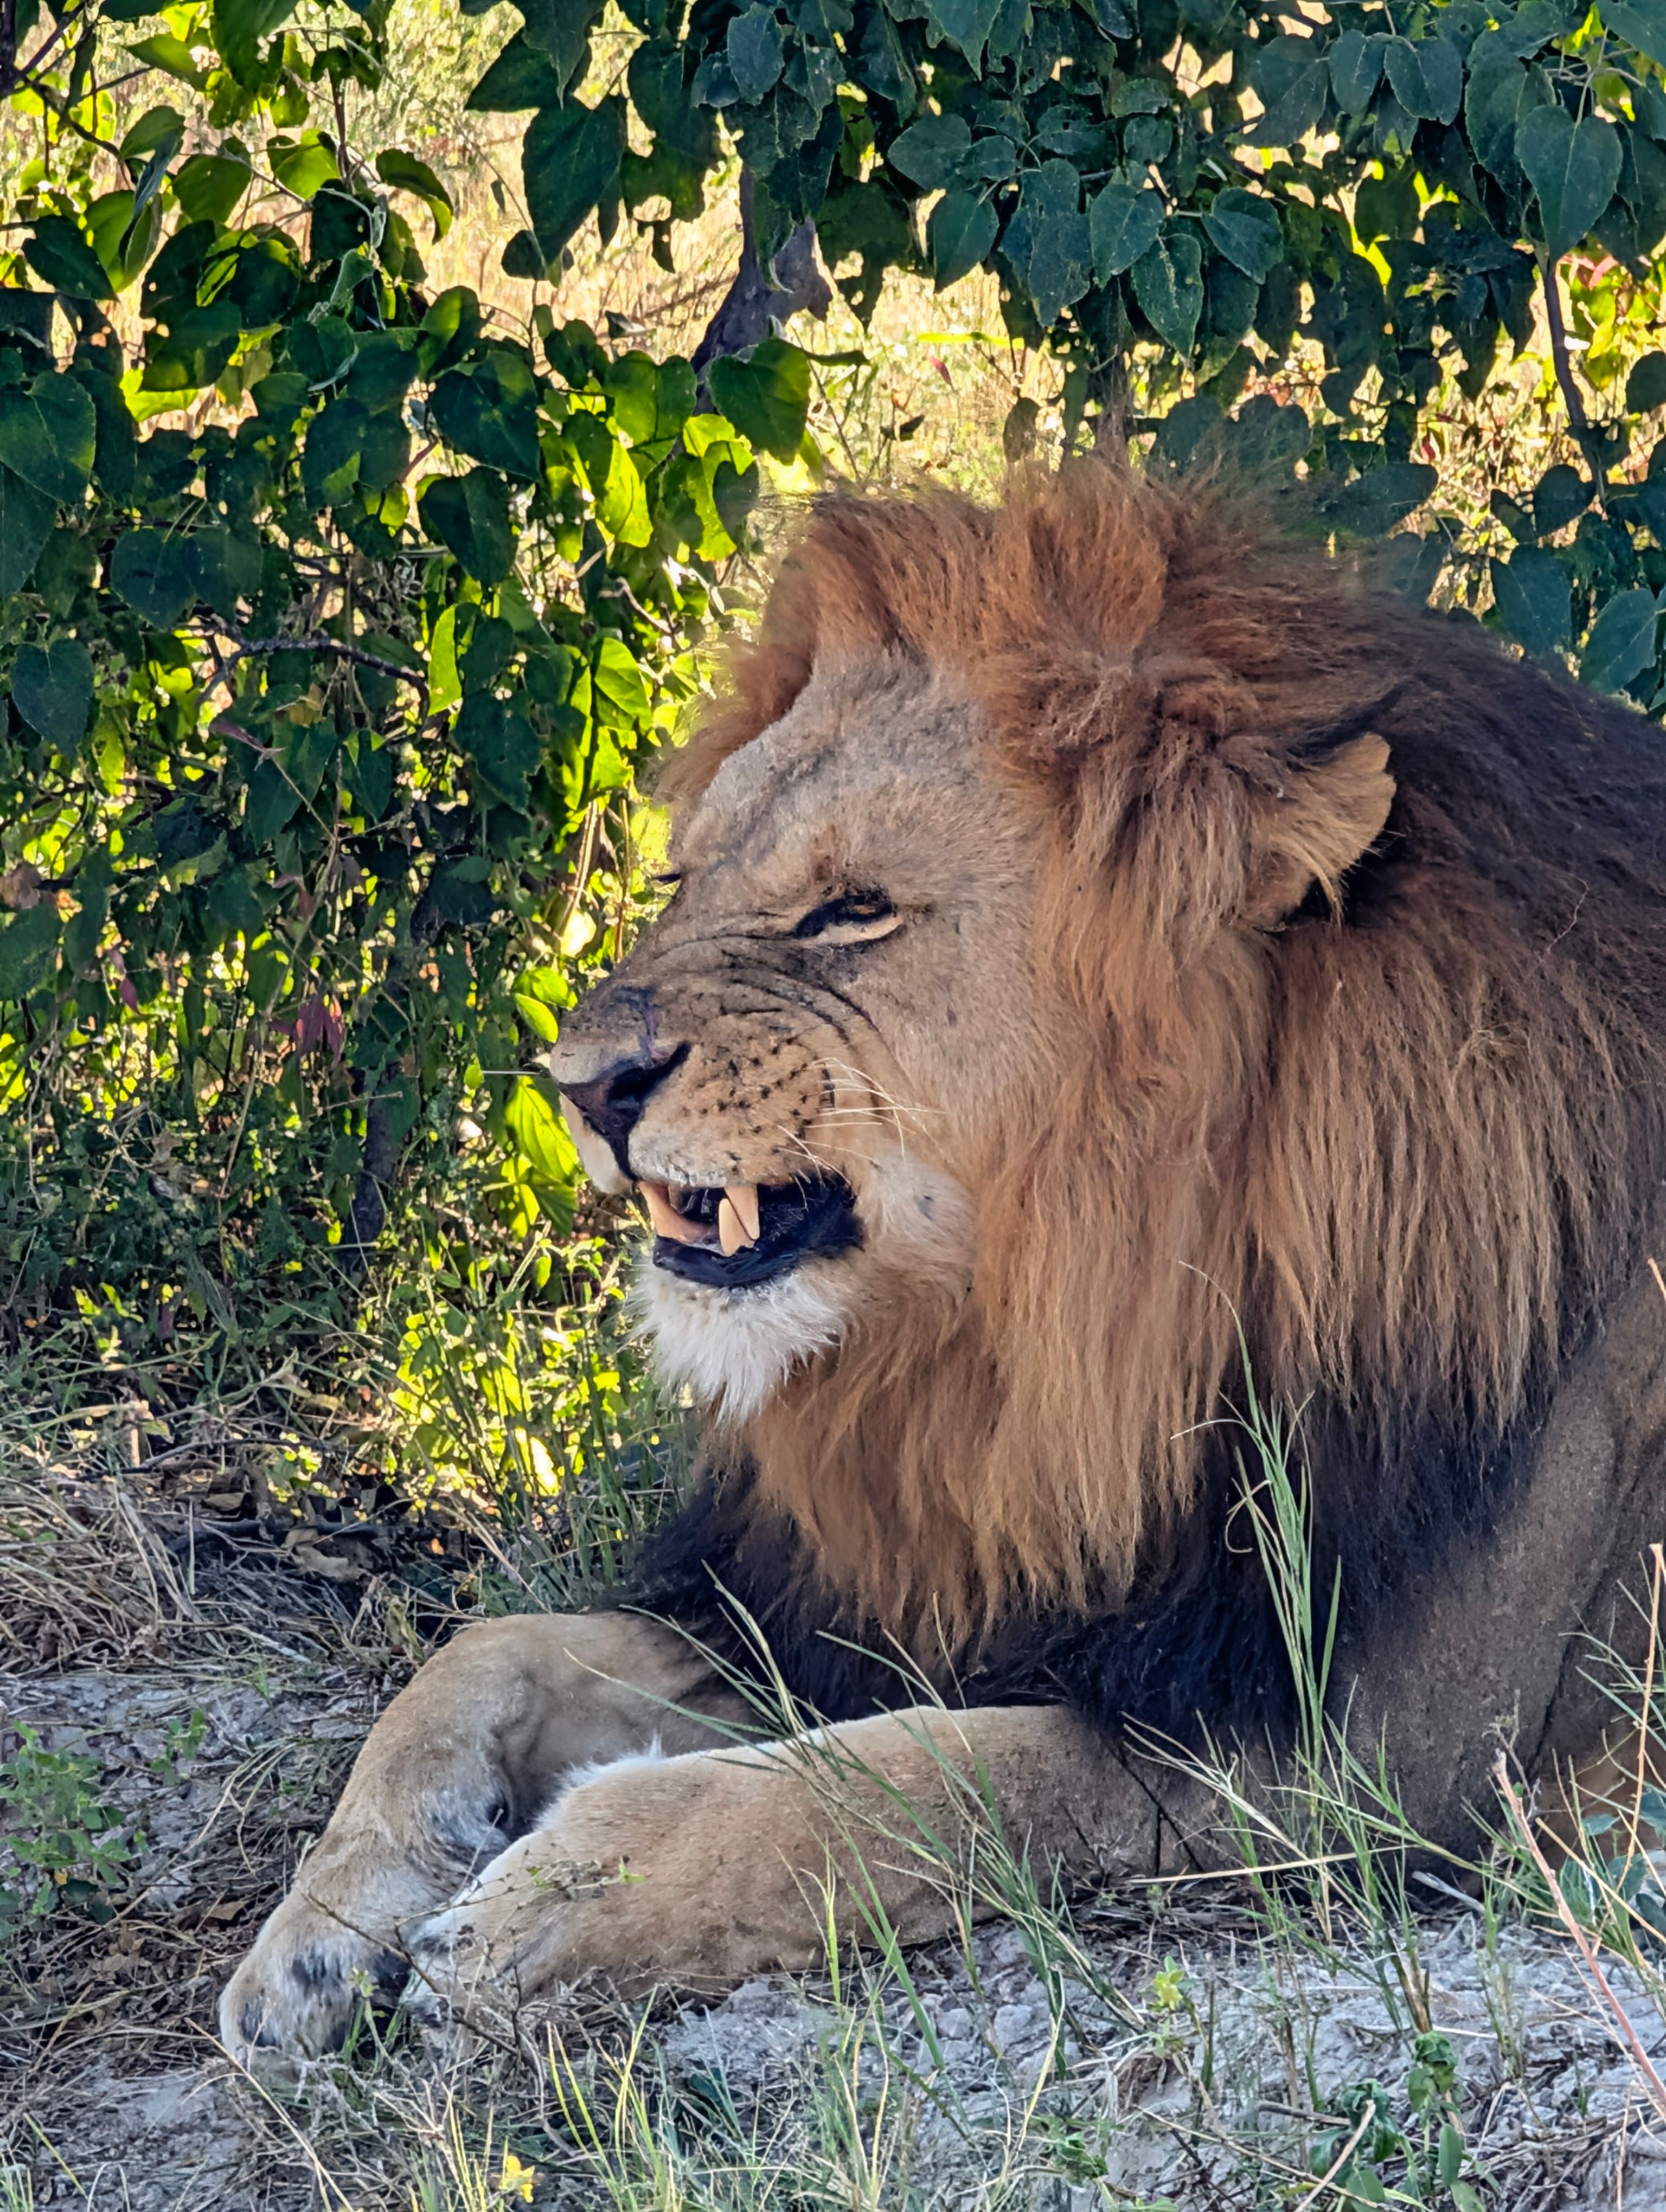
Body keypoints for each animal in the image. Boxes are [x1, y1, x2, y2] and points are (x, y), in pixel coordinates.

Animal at [222, 463, 1666, 2061]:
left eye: (851, 910)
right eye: (685, 878)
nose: (580, 1086)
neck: (1038, 1346)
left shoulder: (1389, 1752)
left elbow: (925, 1774)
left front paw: (560, 1892)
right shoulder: (887, 1596)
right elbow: (483, 1647)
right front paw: (318, 1934)